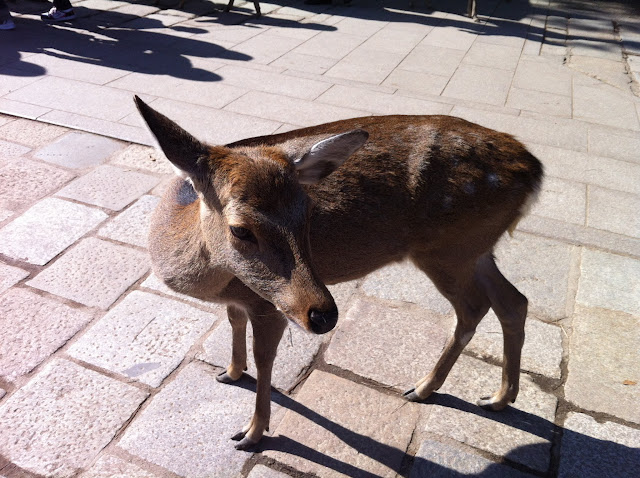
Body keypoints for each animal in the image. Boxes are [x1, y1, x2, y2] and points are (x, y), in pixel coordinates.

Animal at [134, 96, 543, 450]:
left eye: (309, 214)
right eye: (240, 230)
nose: (324, 315)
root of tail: (535, 171)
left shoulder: (269, 305)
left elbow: (265, 357)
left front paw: (251, 433)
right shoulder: (243, 297)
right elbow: (234, 323)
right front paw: (230, 372)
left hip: (448, 251)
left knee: (474, 307)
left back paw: (423, 388)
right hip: (475, 249)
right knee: (514, 301)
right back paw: (499, 397)